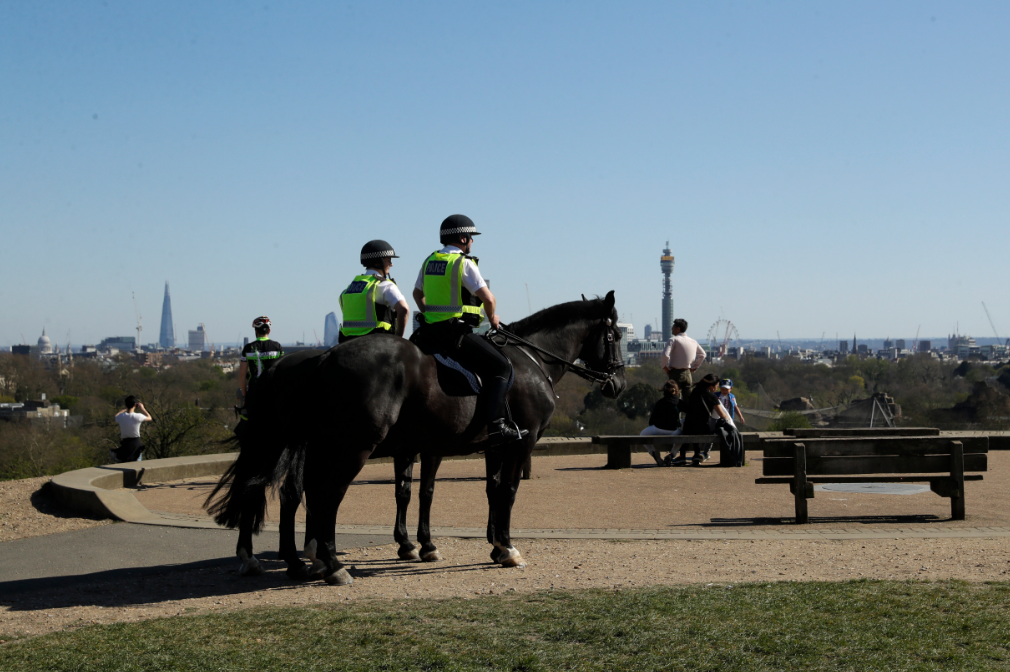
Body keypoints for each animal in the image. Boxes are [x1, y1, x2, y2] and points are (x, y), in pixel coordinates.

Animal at [207, 291, 626, 585]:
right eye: (615, 334)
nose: (618, 383)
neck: (529, 359)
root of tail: (321, 359)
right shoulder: (516, 442)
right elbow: (502, 492)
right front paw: (505, 547)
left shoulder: (477, 444)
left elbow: (456, 491)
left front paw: (479, 544)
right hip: (349, 447)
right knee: (324, 493)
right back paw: (327, 563)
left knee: (291, 492)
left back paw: (298, 559)